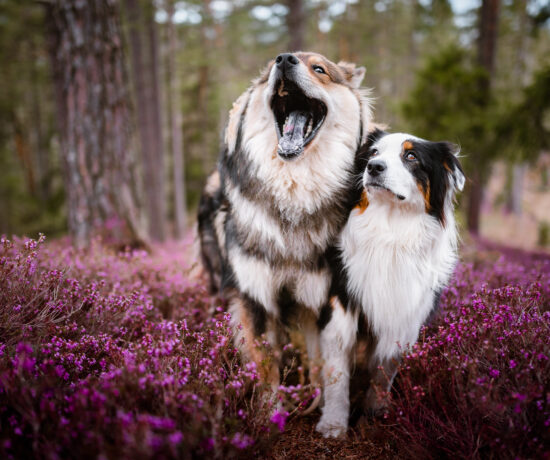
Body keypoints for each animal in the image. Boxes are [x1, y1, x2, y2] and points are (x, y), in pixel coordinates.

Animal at [201, 53, 374, 392]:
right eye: (271, 67)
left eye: (319, 69)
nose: (284, 59)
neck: (294, 191)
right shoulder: (254, 298)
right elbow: (267, 370)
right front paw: (272, 406)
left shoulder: (319, 300)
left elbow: (320, 365)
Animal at [316, 130, 468, 438]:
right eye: (374, 153)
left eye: (411, 156)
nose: (373, 167)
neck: (390, 231)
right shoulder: (341, 305)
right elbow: (337, 372)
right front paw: (334, 423)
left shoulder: (406, 313)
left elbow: (385, 370)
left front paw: (376, 413)